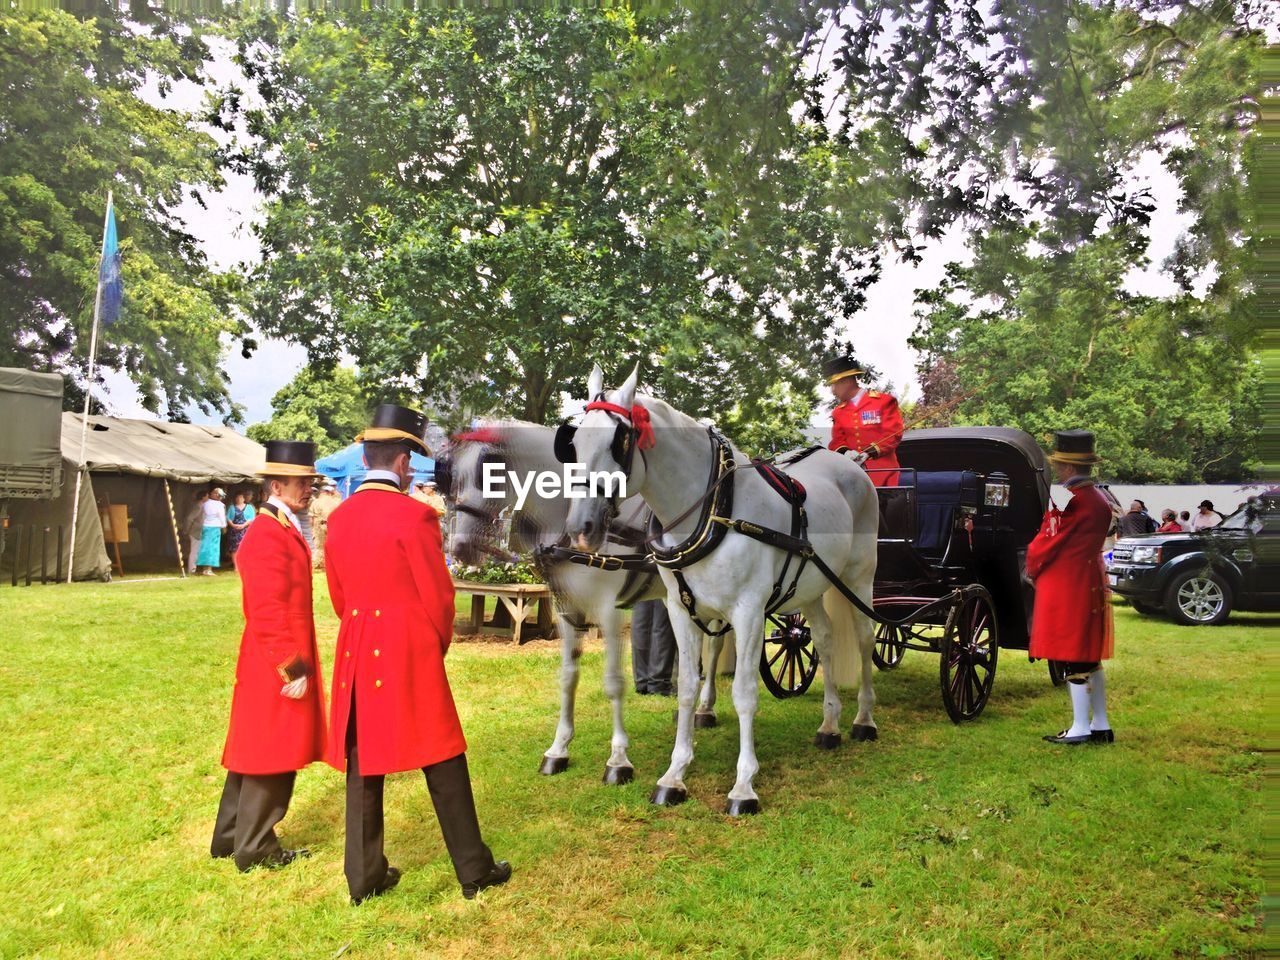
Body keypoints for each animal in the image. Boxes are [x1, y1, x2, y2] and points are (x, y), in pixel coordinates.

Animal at [445, 424, 732, 783]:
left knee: (716, 646)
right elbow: (568, 677)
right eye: (453, 476)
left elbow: (614, 683)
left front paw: (618, 759)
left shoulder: (609, 612)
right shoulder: (566, 610)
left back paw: (705, 708)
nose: (460, 548)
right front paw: (558, 750)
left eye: (491, 473)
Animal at [568, 363, 880, 814]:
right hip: (811, 587)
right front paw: (674, 774)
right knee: (823, 638)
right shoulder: (681, 610)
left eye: (619, 441)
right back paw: (829, 724)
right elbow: (685, 688)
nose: (581, 528)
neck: (716, 508)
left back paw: (863, 719)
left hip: (858, 578)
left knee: (865, 637)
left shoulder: (749, 612)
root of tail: (850, 465)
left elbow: (745, 693)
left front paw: (744, 785)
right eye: (574, 442)